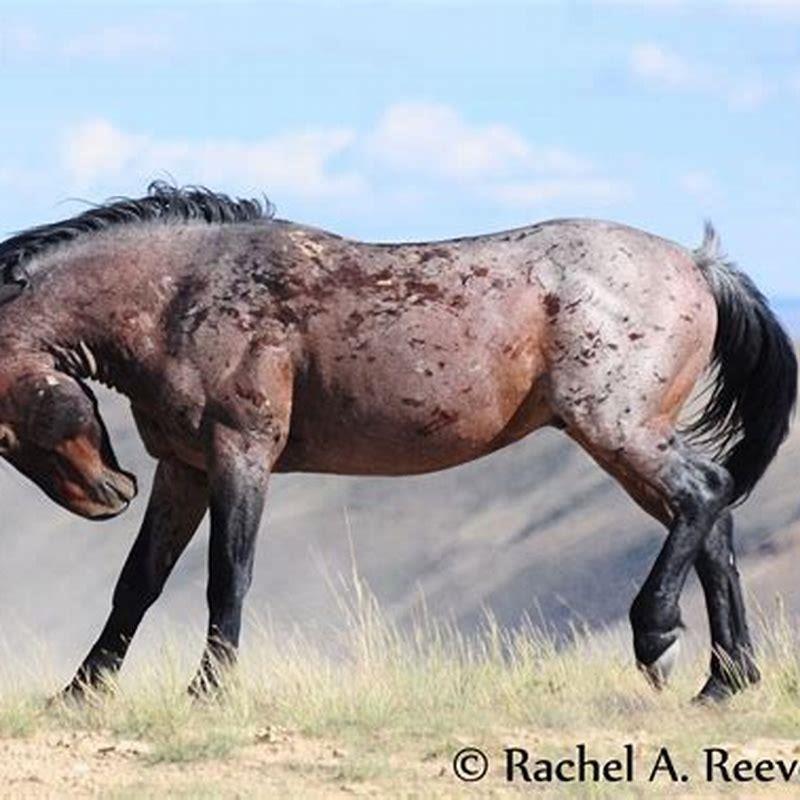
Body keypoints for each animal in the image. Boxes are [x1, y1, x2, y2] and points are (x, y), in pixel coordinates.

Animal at [0, 182, 794, 701]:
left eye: (5, 430)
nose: (110, 494)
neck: (182, 295)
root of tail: (698, 265)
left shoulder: (240, 454)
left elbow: (227, 575)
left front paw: (209, 691)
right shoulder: (183, 468)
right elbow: (138, 582)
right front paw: (80, 692)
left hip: (618, 429)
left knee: (705, 494)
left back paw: (657, 639)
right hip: (626, 440)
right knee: (712, 522)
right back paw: (725, 682)